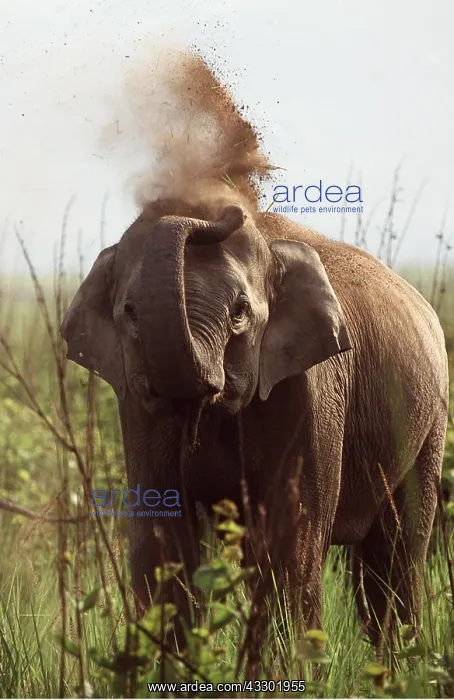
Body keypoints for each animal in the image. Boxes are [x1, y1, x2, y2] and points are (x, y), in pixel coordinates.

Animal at [60, 197, 449, 655]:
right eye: (130, 313)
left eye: (240, 312)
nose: (230, 210)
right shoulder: (137, 405)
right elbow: (162, 541)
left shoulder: (311, 391)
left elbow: (292, 543)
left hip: (432, 417)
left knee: (398, 550)